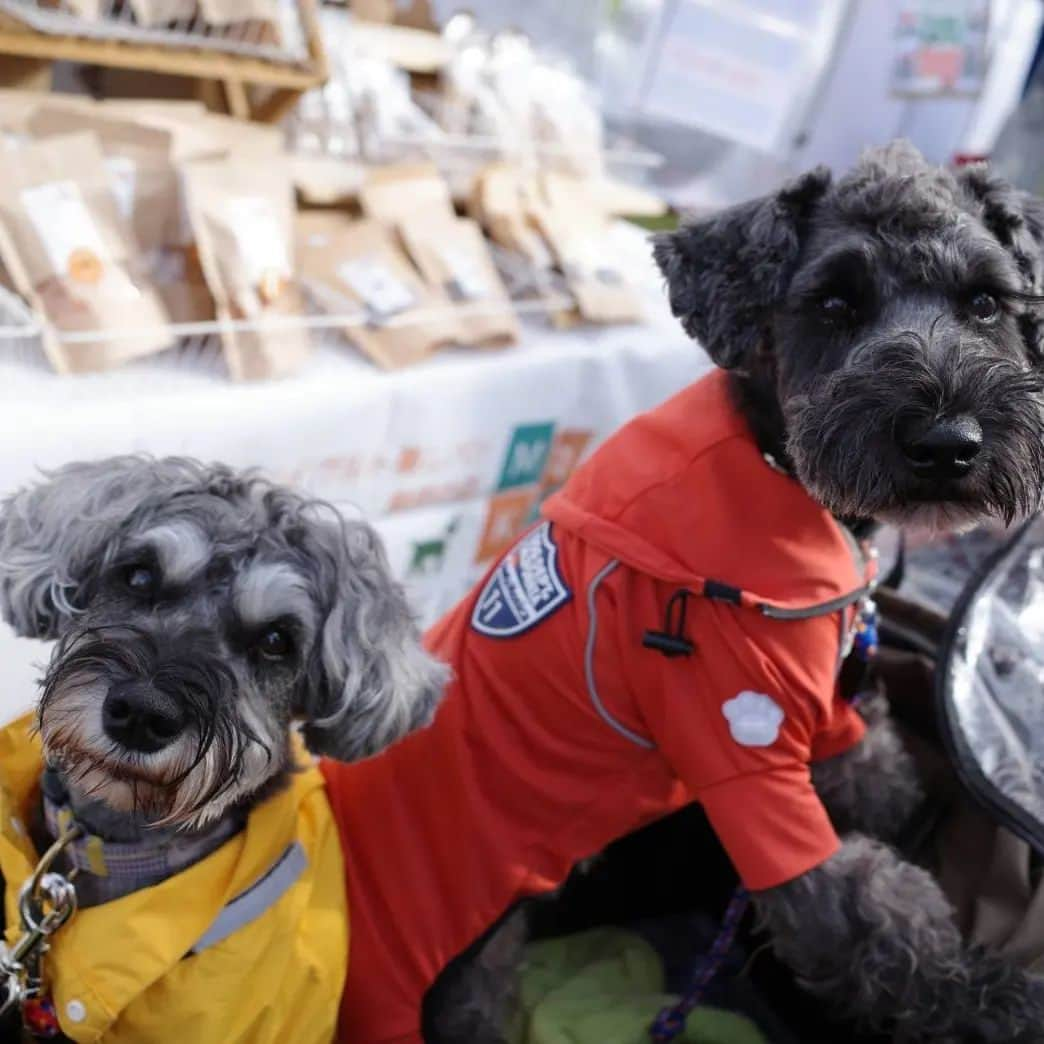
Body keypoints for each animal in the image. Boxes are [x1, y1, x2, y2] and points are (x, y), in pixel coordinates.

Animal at [428, 140, 1044, 1044]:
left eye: (986, 301)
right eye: (833, 303)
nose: (947, 445)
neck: (778, 469)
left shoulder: (826, 709)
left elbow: (877, 771)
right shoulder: (746, 762)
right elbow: (883, 924)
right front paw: (1003, 1002)